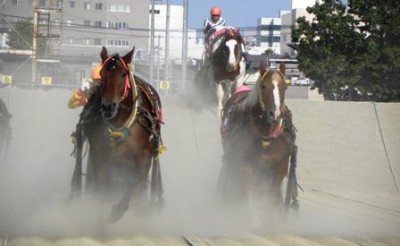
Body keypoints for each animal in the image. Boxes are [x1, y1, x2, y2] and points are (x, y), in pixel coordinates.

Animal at [217, 61, 298, 223]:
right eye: (263, 86)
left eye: (284, 87)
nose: (275, 114)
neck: (265, 137)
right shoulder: (244, 164)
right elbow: (249, 194)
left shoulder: (279, 167)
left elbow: (273, 196)